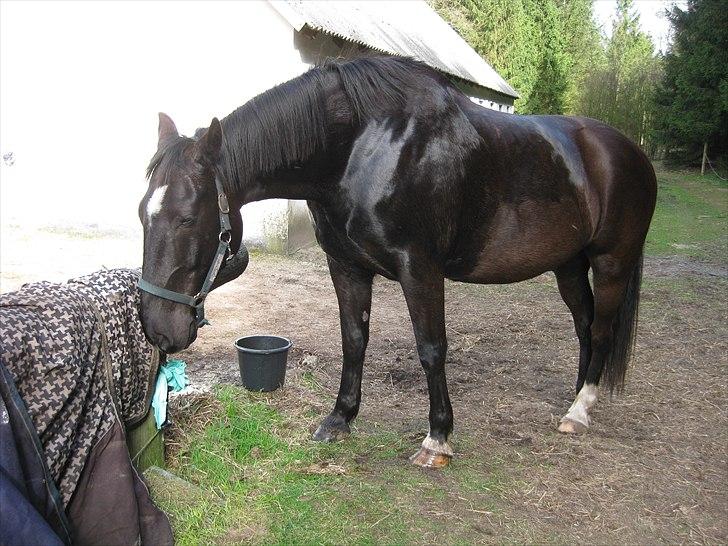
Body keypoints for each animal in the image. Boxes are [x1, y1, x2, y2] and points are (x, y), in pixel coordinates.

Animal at [136, 56, 656, 468]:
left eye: (188, 218)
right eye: (143, 213)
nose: (158, 328)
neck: (362, 148)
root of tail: (630, 150)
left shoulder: (419, 268)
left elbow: (431, 348)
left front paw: (438, 438)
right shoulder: (346, 266)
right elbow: (353, 339)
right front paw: (340, 418)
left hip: (611, 263)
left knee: (602, 330)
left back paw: (580, 410)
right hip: (568, 265)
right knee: (585, 325)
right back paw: (576, 399)